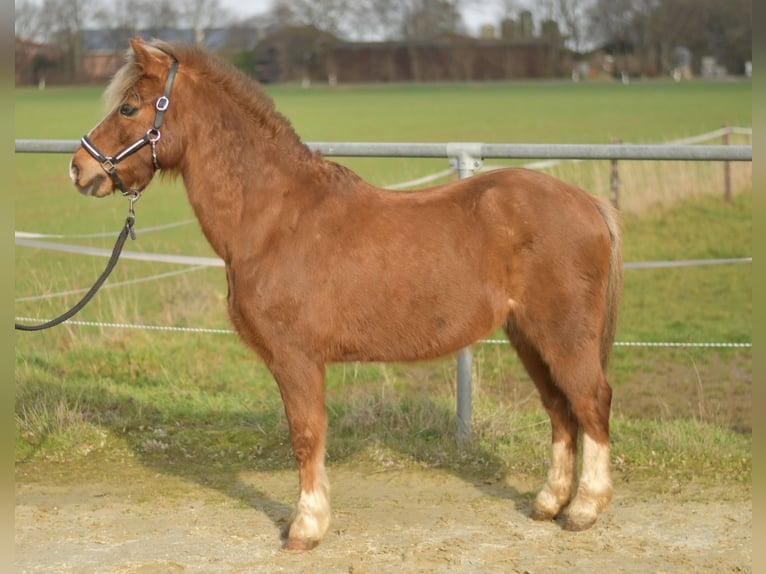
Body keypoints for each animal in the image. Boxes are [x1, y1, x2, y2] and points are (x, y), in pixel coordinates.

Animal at [69, 38, 623, 552]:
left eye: (128, 107)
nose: (79, 167)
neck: (275, 218)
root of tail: (588, 203)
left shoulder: (296, 358)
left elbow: (305, 434)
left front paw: (306, 527)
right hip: (528, 336)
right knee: (560, 409)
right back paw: (549, 503)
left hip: (562, 335)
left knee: (590, 402)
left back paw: (584, 509)